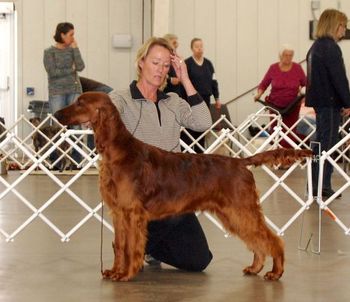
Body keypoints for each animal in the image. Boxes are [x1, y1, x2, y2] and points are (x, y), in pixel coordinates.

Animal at [54, 91, 312, 280]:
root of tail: (240, 161)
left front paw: (126, 274)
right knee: (256, 240)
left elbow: (130, 246)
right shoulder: (118, 212)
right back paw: (255, 268)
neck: (118, 152)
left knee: (271, 239)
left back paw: (275, 271)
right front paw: (115, 271)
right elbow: (119, 245)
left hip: (241, 209)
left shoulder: (132, 213)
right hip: (233, 213)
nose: (56, 114)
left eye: (80, 103)